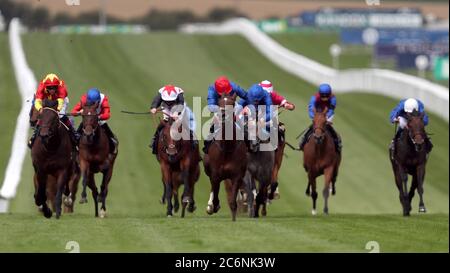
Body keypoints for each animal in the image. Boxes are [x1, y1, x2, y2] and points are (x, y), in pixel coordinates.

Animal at [203, 92, 248, 220]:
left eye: (232, 103)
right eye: (219, 103)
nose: (223, 115)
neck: (227, 148)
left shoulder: (237, 175)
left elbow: (233, 201)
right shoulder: (215, 174)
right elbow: (215, 193)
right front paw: (213, 206)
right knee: (213, 187)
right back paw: (210, 206)